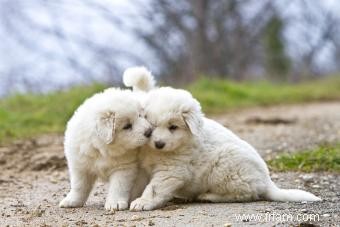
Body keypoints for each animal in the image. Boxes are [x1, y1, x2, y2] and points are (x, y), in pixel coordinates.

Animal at [127, 85, 322, 211]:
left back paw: (208, 196)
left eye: (173, 127)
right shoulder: (146, 166)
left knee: (245, 194)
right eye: (151, 126)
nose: (159, 144)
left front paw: (142, 202)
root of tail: (267, 182)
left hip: (225, 168)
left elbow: (154, 188)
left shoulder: (172, 171)